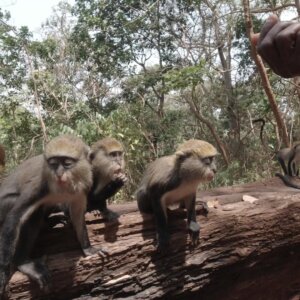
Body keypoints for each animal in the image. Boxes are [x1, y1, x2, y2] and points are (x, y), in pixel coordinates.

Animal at [0, 135, 106, 296]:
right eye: (54, 164)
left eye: (67, 163)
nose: (59, 174)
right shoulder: (41, 185)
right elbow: (14, 217)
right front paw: (3, 273)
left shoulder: (81, 187)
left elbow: (77, 215)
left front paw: (88, 248)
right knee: (32, 213)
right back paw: (23, 263)